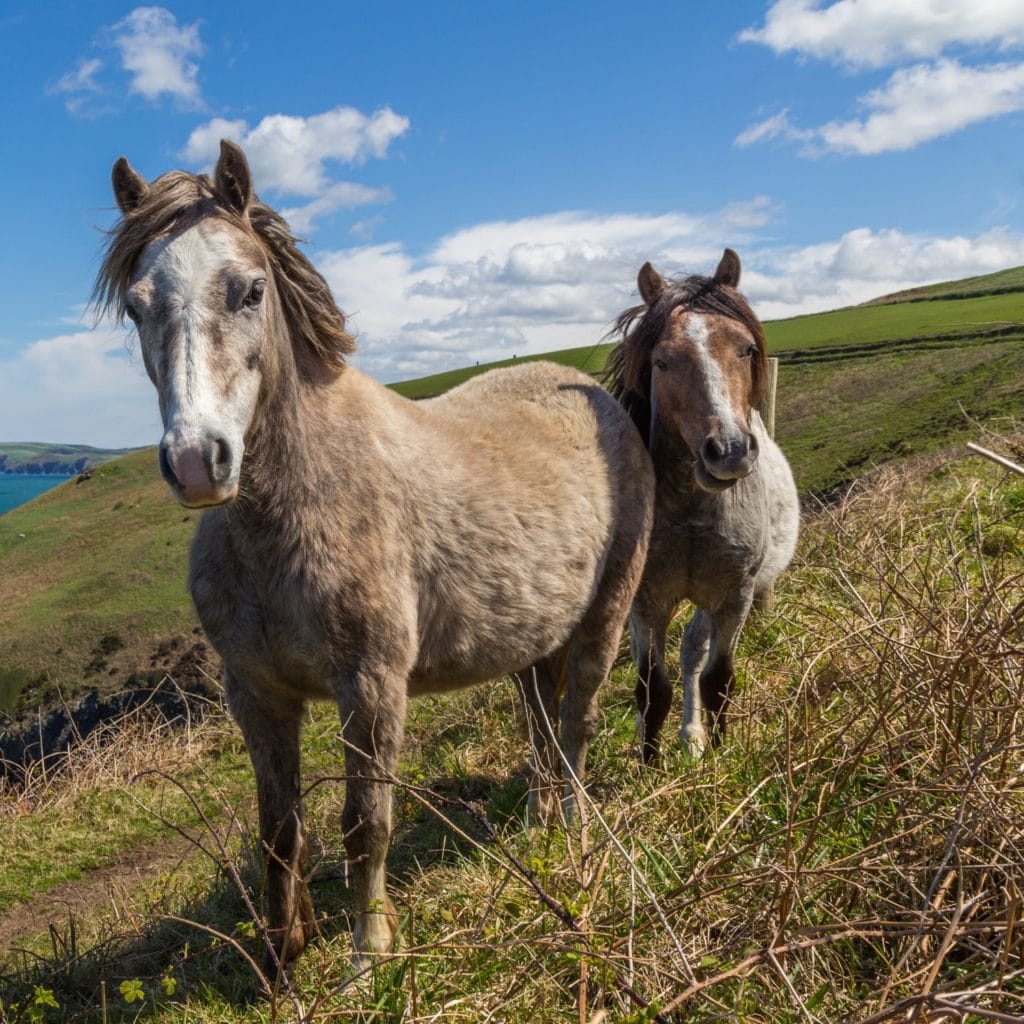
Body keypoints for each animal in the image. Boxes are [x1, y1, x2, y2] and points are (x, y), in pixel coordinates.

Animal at [97, 140, 655, 978]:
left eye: (249, 290)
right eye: (137, 306)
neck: (284, 519)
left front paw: (370, 955)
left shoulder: (370, 685)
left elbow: (366, 821)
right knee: (542, 725)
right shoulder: (257, 694)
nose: (198, 461)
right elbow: (279, 830)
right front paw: (281, 956)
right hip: (530, 642)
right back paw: (536, 822)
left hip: (605, 618)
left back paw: (576, 828)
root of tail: (594, 394)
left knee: (578, 721)